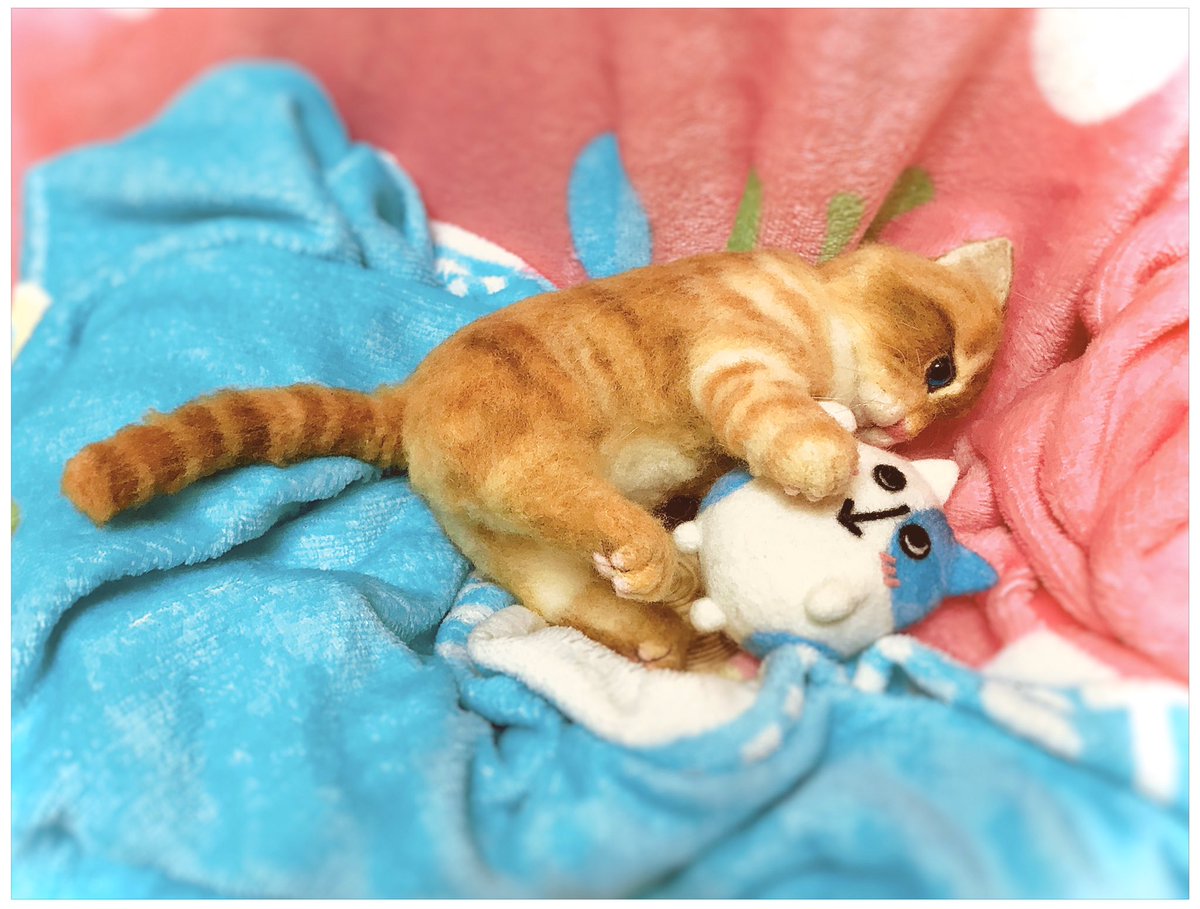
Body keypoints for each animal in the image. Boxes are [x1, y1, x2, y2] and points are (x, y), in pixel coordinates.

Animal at [62, 239, 1012, 669]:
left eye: (950, 399)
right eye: (940, 368)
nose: (907, 432)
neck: (813, 302)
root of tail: (406, 397)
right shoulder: (734, 358)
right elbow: (783, 420)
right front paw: (822, 456)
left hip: (537, 561)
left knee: (604, 597)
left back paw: (676, 634)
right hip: (529, 461)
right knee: (598, 514)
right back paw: (664, 566)